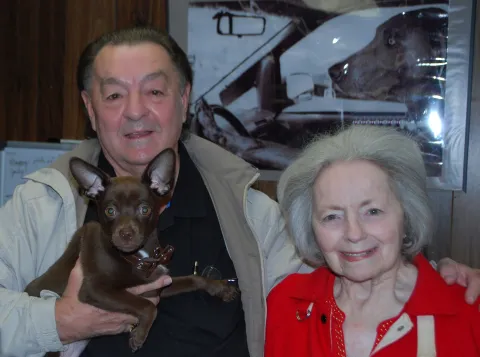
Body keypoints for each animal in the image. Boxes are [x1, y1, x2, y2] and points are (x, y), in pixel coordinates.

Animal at [24, 147, 238, 354]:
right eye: (110, 211)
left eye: (145, 209)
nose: (126, 234)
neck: (137, 258)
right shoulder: (95, 289)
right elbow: (148, 306)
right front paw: (140, 335)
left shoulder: (158, 285)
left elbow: (192, 279)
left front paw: (219, 287)